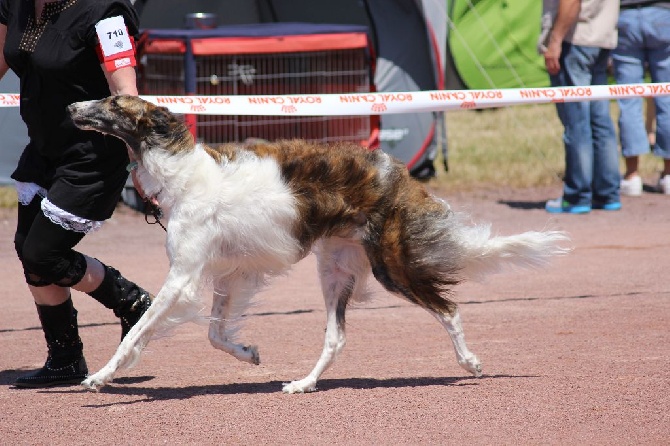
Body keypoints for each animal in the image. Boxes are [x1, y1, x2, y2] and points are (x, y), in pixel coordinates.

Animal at [67, 96, 572, 392]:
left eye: (111, 102)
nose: (71, 106)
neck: (183, 174)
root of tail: (400, 173)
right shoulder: (230, 272)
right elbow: (215, 334)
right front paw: (249, 354)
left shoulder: (183, 276)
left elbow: (139, 332)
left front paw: (101, 377)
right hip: (335, 267)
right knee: (337, 337)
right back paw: (303, 383)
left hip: (391, 267)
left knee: (449, 310)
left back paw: (469, 363)